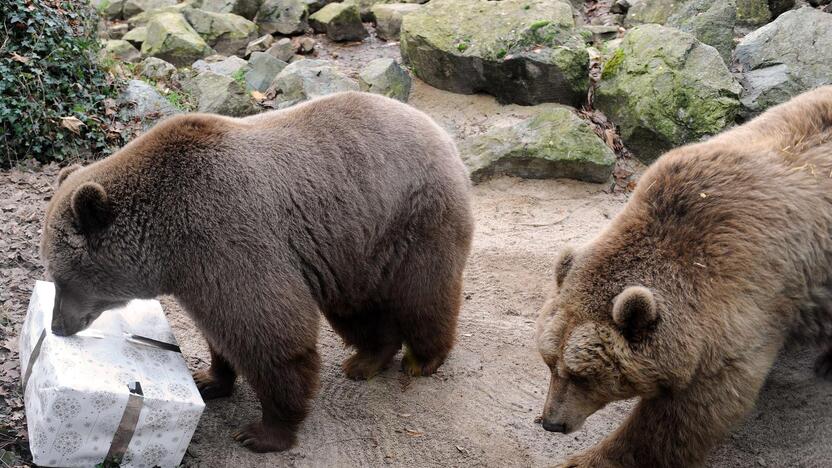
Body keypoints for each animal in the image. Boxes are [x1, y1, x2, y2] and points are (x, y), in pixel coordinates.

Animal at [39, 89, 474, 452]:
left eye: (62, 278)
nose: (57, 325)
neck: (168, 245)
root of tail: (439, 131)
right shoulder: (200, 272)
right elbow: (222, 332)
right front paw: (209, 378)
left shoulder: (227, 236)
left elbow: (268, 333)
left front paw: (263, 432)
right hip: (354, 247)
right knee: (357, 308)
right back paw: (366, 360)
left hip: (413, 217)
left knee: (423, 294)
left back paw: (423, 359)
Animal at [532, 86, 832, 466]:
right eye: (549, 362)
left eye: (582, 375)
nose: (552, 422)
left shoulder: (739, 307)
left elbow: (686, 416)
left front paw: (591, 458)